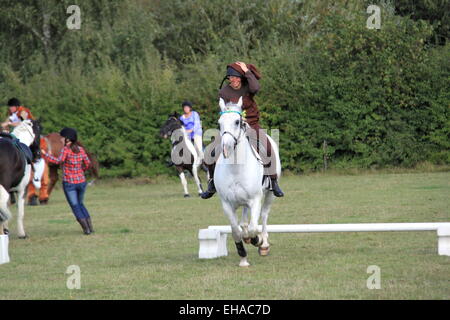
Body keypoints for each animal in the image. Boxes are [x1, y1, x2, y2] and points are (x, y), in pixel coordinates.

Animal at [214, 97, 282, 268]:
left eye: (237, 121)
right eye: (219, 123)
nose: (226, 147)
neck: (236, 168)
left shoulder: (255, 200)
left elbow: (253, 227)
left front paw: (257, 240)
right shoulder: (226, 204)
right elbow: (235, 230)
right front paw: (243, 257)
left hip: (270, 194)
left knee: (263, 215)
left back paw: (263, 244)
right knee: (244, 222)